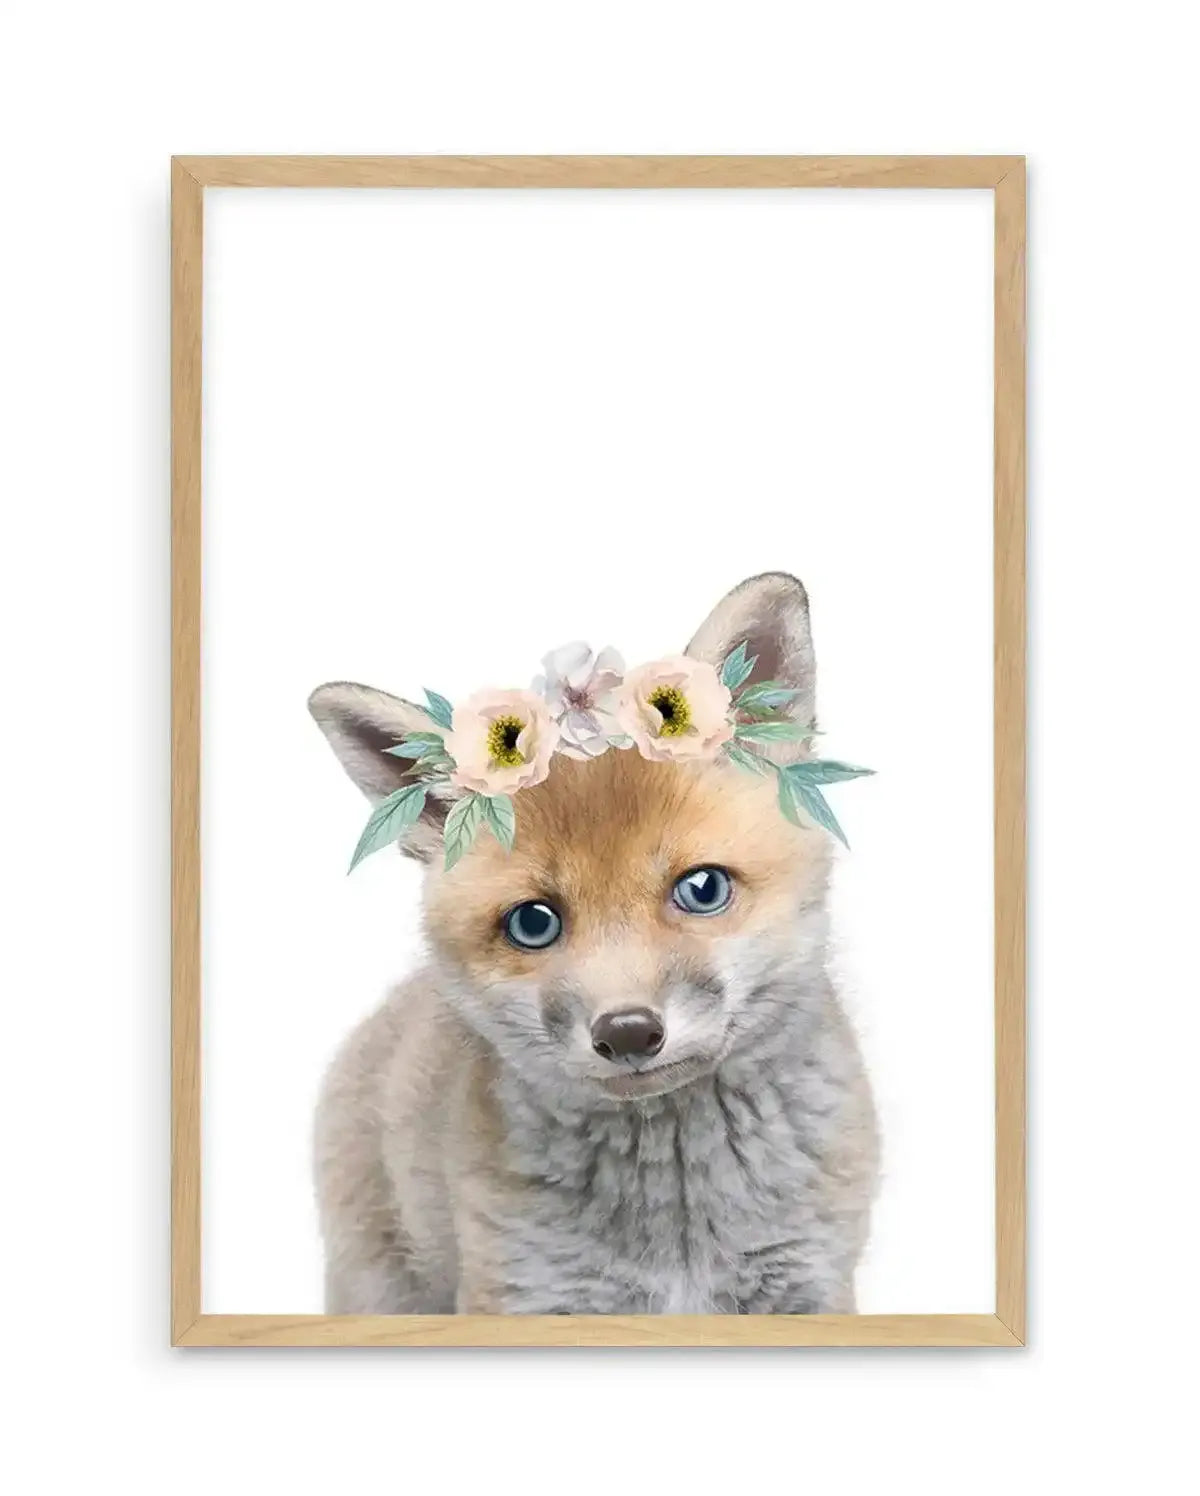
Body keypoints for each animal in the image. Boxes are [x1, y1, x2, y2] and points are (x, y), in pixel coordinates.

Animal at [307, 572, 878, 1314]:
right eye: (533, 923)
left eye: (702, 889)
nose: (628, 1032)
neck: (679, 1226)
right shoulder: (526, 1291)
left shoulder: (807, 1282)